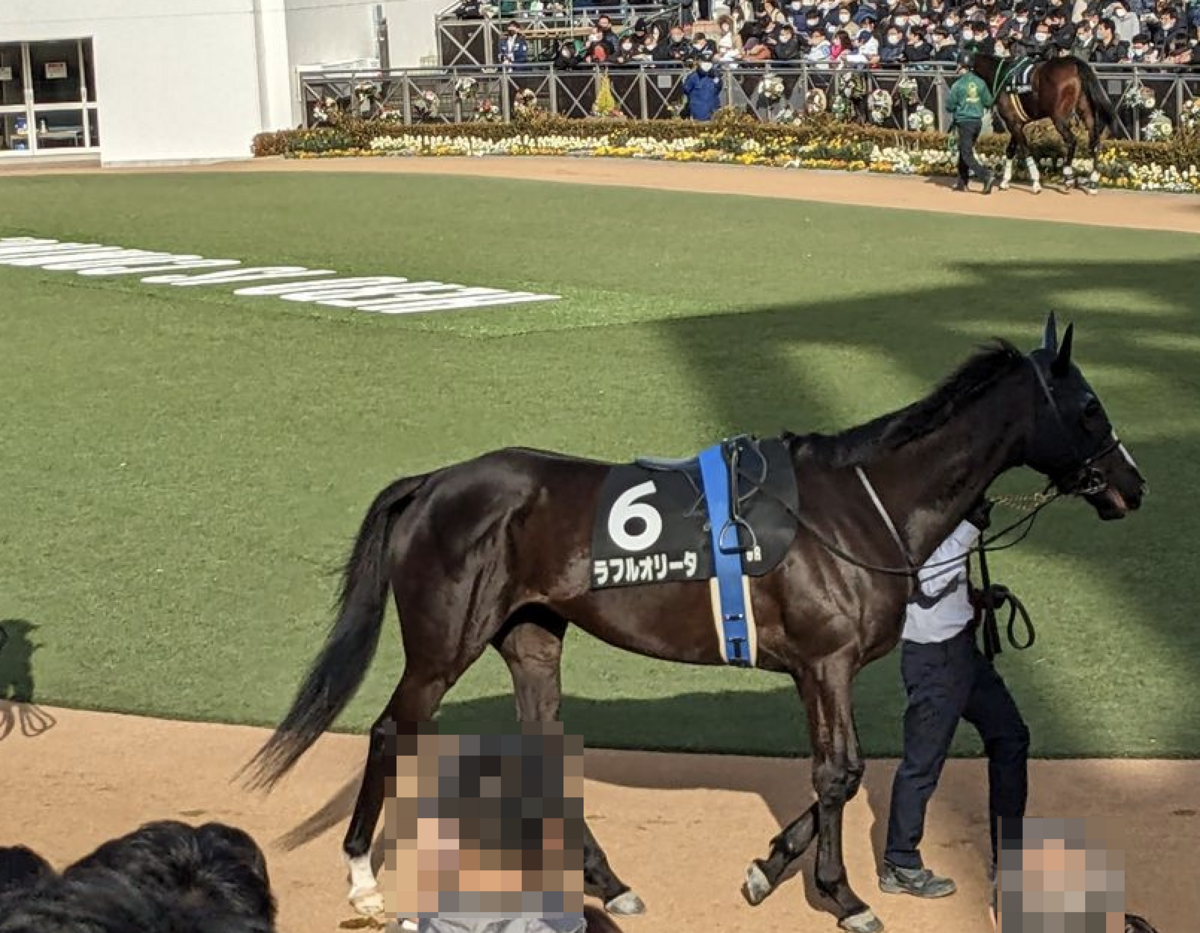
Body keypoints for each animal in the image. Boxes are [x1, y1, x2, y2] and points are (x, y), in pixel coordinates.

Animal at [244, 314, 1145, 933]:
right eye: (1090, 407)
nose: (1133, 485)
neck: (860, 506)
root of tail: (433, 482)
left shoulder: (816, 669)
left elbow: (833, 775)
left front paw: (769, 868)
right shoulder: (826, 660)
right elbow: (841, 774)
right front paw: (841, 894)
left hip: (531, 635)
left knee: (544, 748)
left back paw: (607, 882)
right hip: (443, 644)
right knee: (390, 731)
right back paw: (363, 877)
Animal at [969, 51, 1118, 195]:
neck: (1002, 75)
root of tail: (1074, 63)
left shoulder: (1012, 123)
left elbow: (1025, 150)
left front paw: (1035, 183)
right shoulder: (1016, 123)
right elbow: (1010, 150)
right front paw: (1004, 182)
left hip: (1059, 118)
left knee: (1072, 140)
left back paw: (1068, 178)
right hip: (1086, 112)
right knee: (1095, 143)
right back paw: (1093, 182)